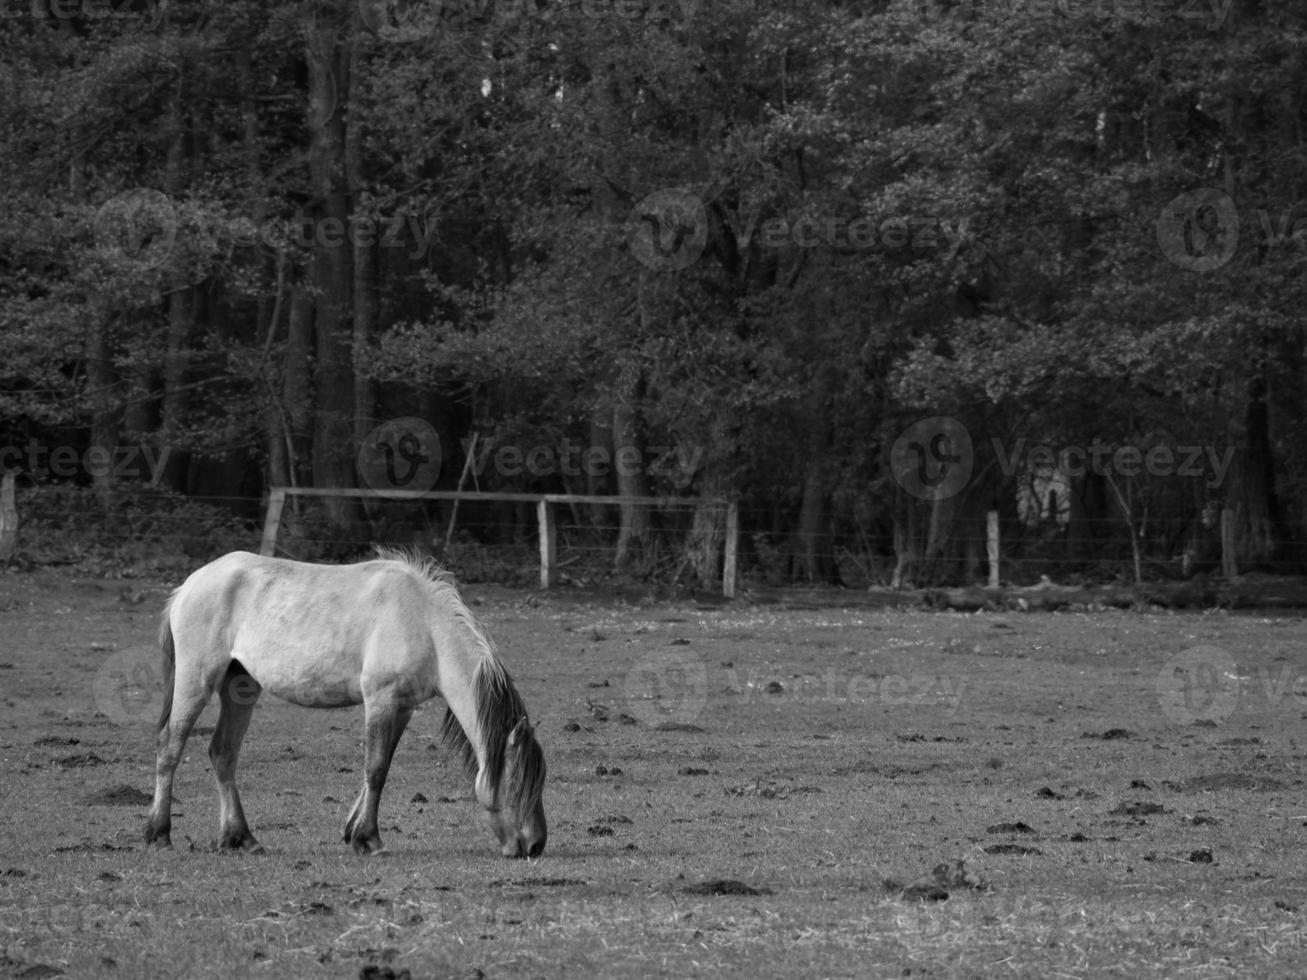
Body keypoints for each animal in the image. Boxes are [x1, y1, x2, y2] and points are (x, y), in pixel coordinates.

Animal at [144, 554, 546, 857]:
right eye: (517, 783)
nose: (535, 845)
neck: (424, 623)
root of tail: (189, 585)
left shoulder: (402, 708)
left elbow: (380, 769)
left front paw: (354, 832)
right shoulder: (381, 700)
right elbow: (376, 769)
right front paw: (371, 840)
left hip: (239, 686)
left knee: (223, 753)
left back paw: (241, 838)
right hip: (197, 680)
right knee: (170, 747)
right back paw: (160, 833)